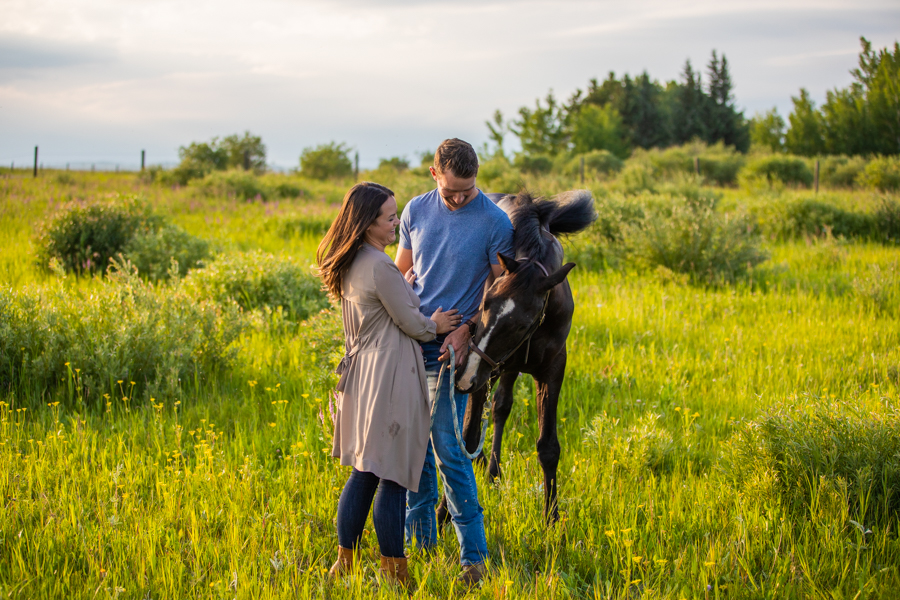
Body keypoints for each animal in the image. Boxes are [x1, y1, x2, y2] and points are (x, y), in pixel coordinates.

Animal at [440, 190, 596, 524]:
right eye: (484, 303)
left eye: (523, 324)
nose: (464, 376)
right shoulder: (482, 374)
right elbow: (467, 437)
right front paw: (445, 513)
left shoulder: (552, 369)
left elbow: (548, 446)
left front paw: (551, 519)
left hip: (505, 369)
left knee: (501, 408)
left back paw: (492, 472)